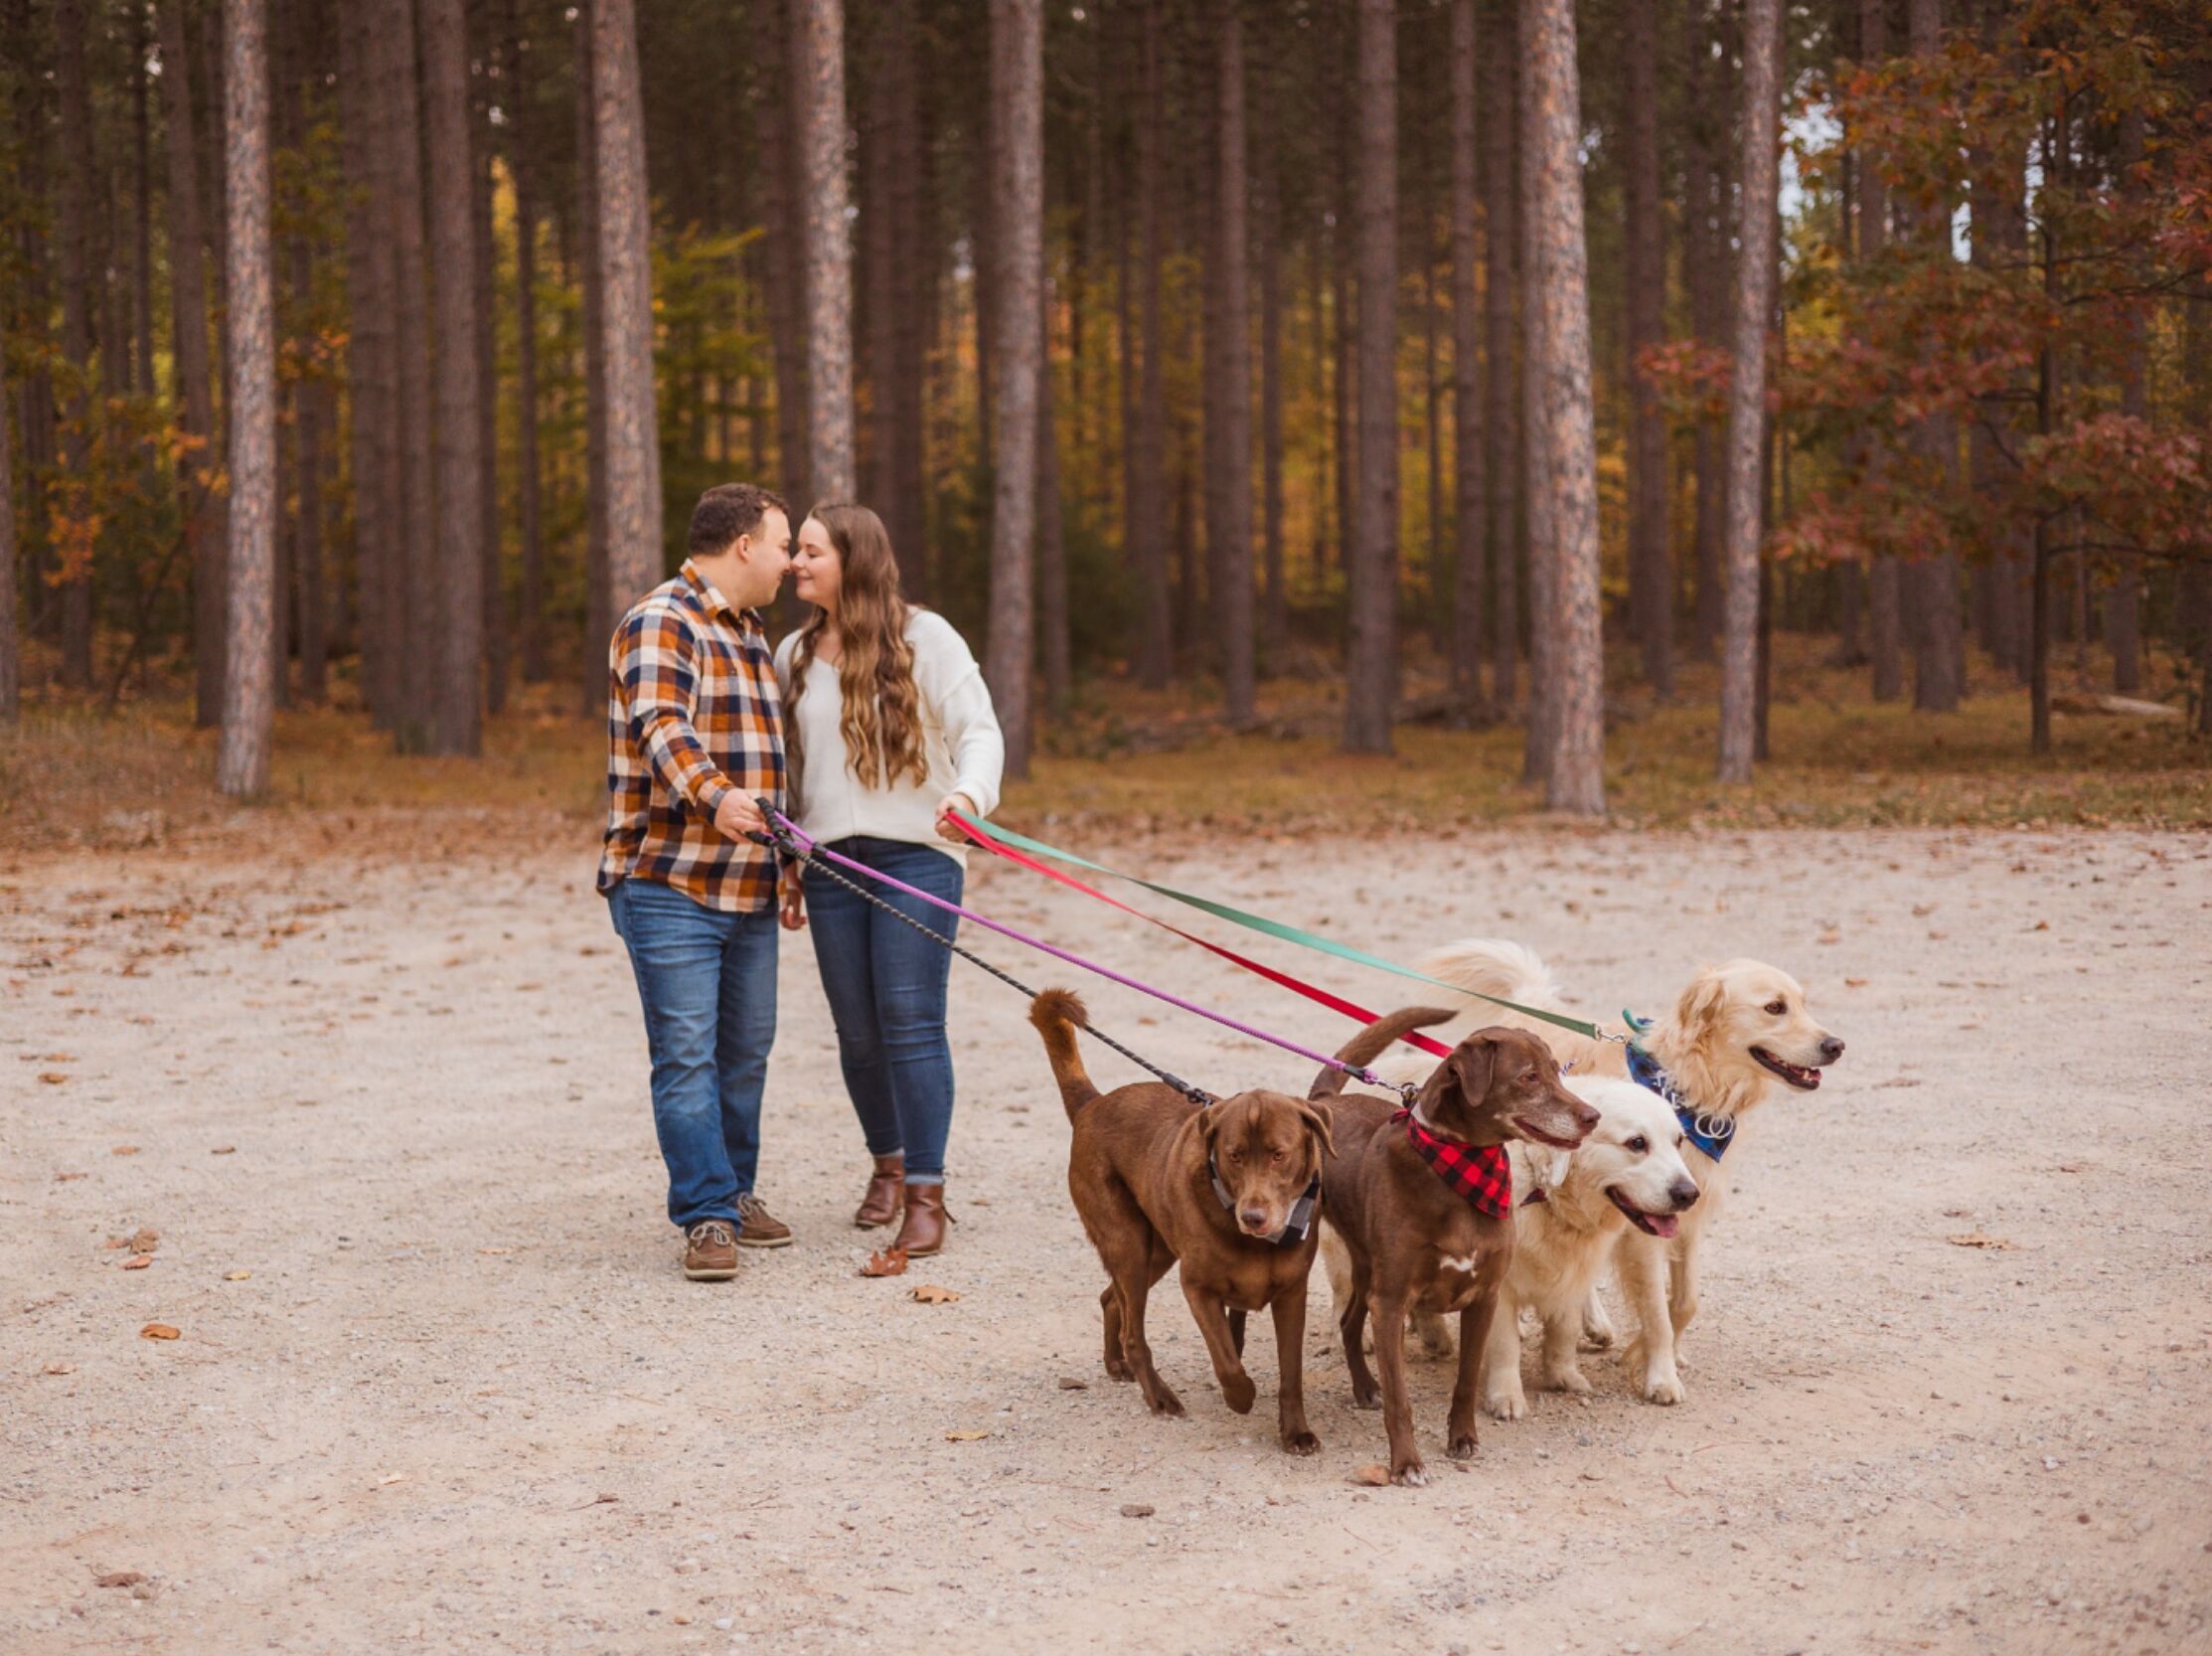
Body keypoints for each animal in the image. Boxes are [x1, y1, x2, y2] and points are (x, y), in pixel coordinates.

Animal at [1030, 991, 1327, 1452]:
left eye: (1280, 1154)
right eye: (1234, 1155)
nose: (1253, 1217)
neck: (1256, 1240)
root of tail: (1093, 1104)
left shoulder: (1293, 1294)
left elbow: (1290, 1373)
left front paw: (1296, 1432)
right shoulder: (1198, 1287)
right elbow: (1227, 1361)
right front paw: (1240, 1397)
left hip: (1156, 1250)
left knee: (1111, 1298)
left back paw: (1115, 1363)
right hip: (1129, 1243)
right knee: (1135, 1332)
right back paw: (1159, 1396)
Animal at [1300, 1009, 1601, 1487]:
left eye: (1557, 1071)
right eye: (1529, 1076)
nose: (1593, 1116)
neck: (1463, 1170)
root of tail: (1329, 1102)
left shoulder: (1484, 1298)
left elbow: (1465, 1380)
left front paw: (1463, 1440)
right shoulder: (1392, 1302)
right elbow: (1400, 1400)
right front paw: (1407, 1464)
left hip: (1366, 1266)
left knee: (1349, 1323)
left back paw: (1365, 1387)